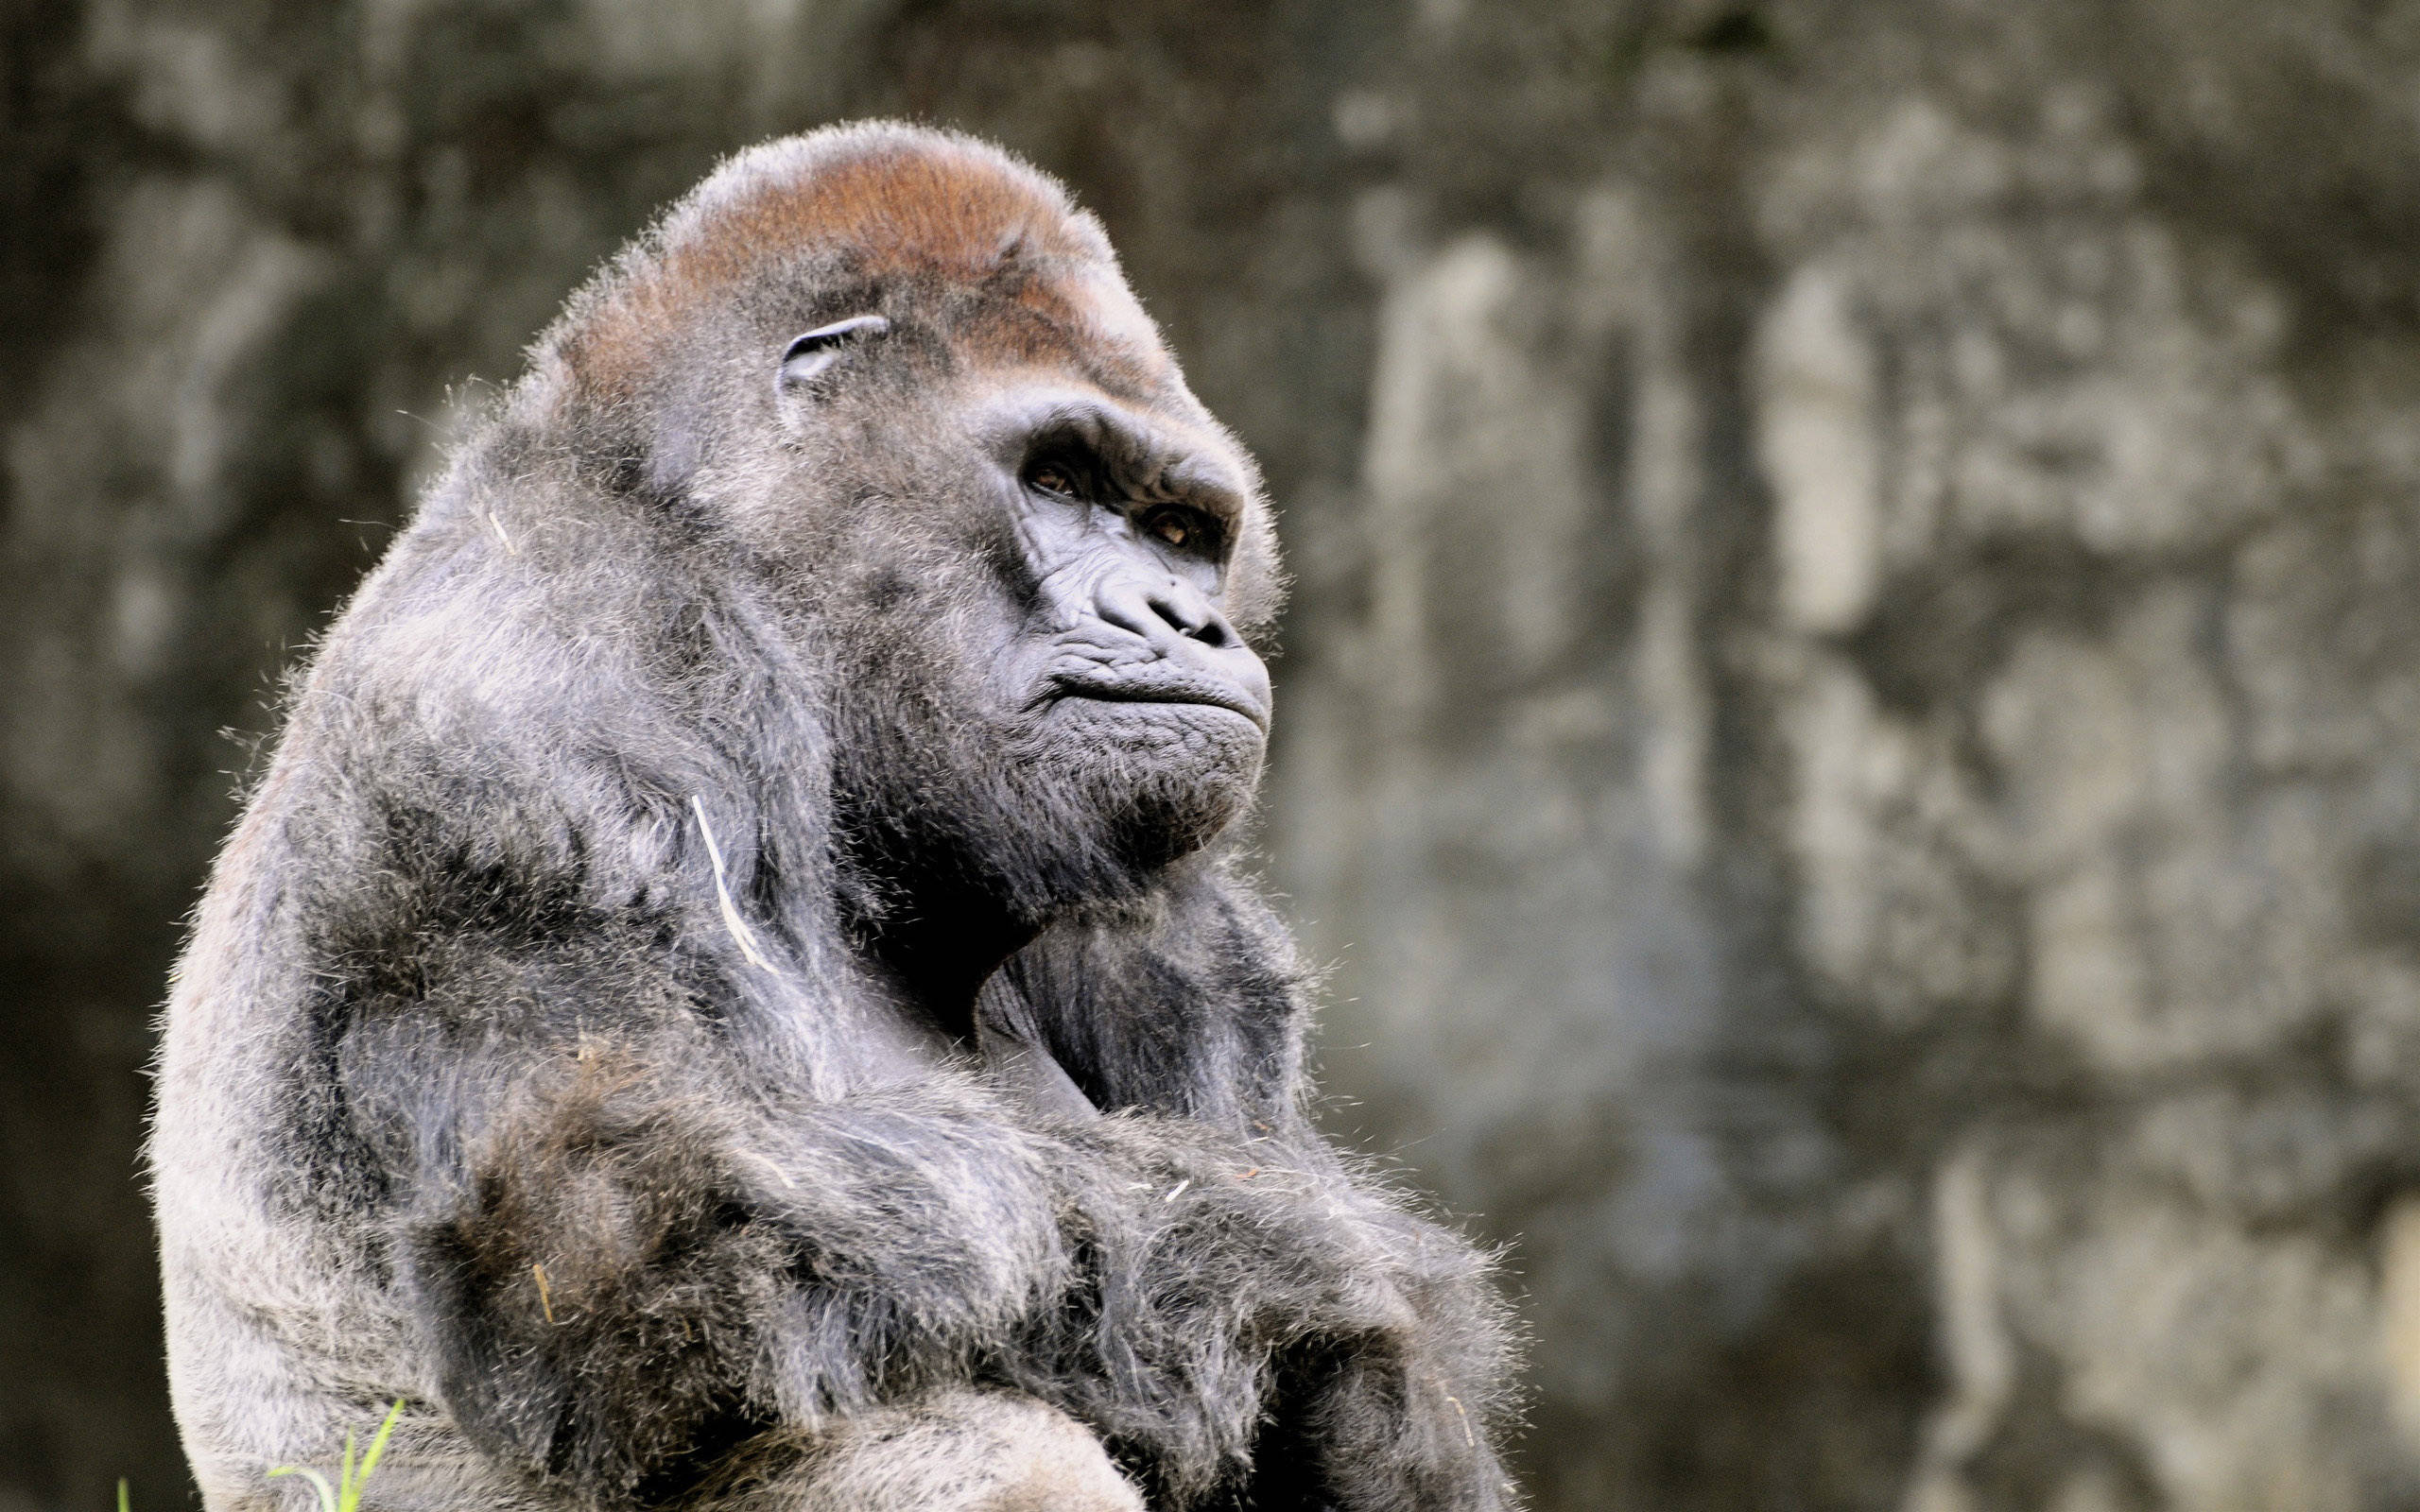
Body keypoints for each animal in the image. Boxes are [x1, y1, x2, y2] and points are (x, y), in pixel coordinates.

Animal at [150, 122, 1518, 1512]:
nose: (1184, 619)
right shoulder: (555, 673)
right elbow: (656, 1237)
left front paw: (1390, 1410)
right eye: (1056, 477)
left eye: (1182, 531)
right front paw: (1348, 1298)